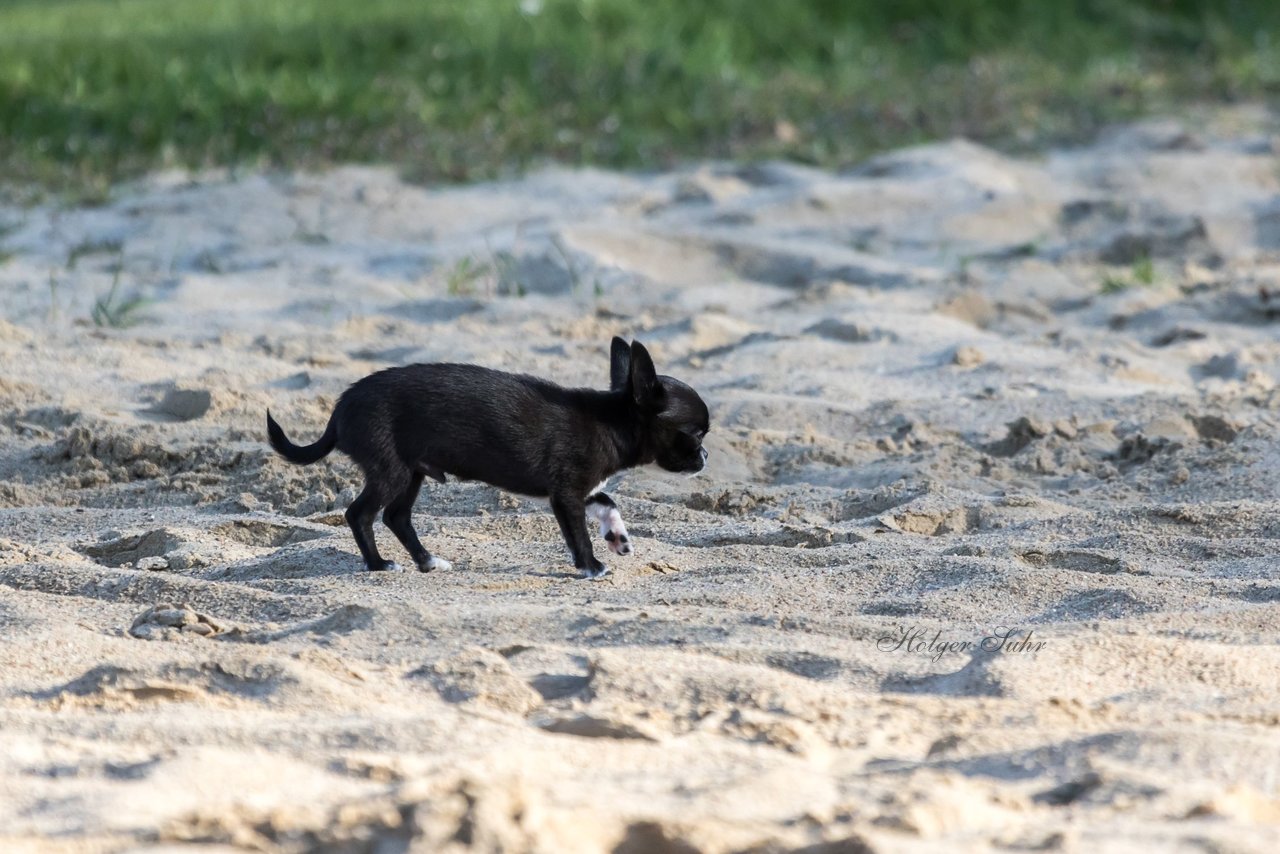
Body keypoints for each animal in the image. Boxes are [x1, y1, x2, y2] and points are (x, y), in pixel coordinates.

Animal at [266, 338, 711, 578]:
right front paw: (591, 566)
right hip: (391, 472)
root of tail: (339, 410)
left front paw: (617, 535)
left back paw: (427, 561)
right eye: (696, 433)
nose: (705, 455)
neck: (611, 421)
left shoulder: (579, 489)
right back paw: (379, 565)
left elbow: (607, 499)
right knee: (360, 514)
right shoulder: (565, 495)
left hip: (411, 473)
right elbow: (578, 535)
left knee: (396, 516)